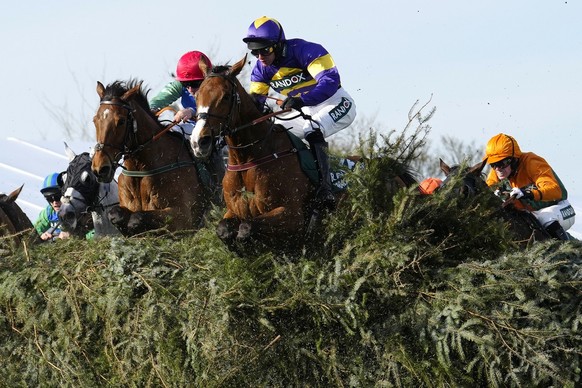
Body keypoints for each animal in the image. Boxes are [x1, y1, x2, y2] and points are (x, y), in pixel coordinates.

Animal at [91, 80, 210, 235]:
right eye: (95, 120)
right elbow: (115, 214)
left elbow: (137, 218)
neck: (141, 169)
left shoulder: (183, 217)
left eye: (121, 121)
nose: (100, 168)